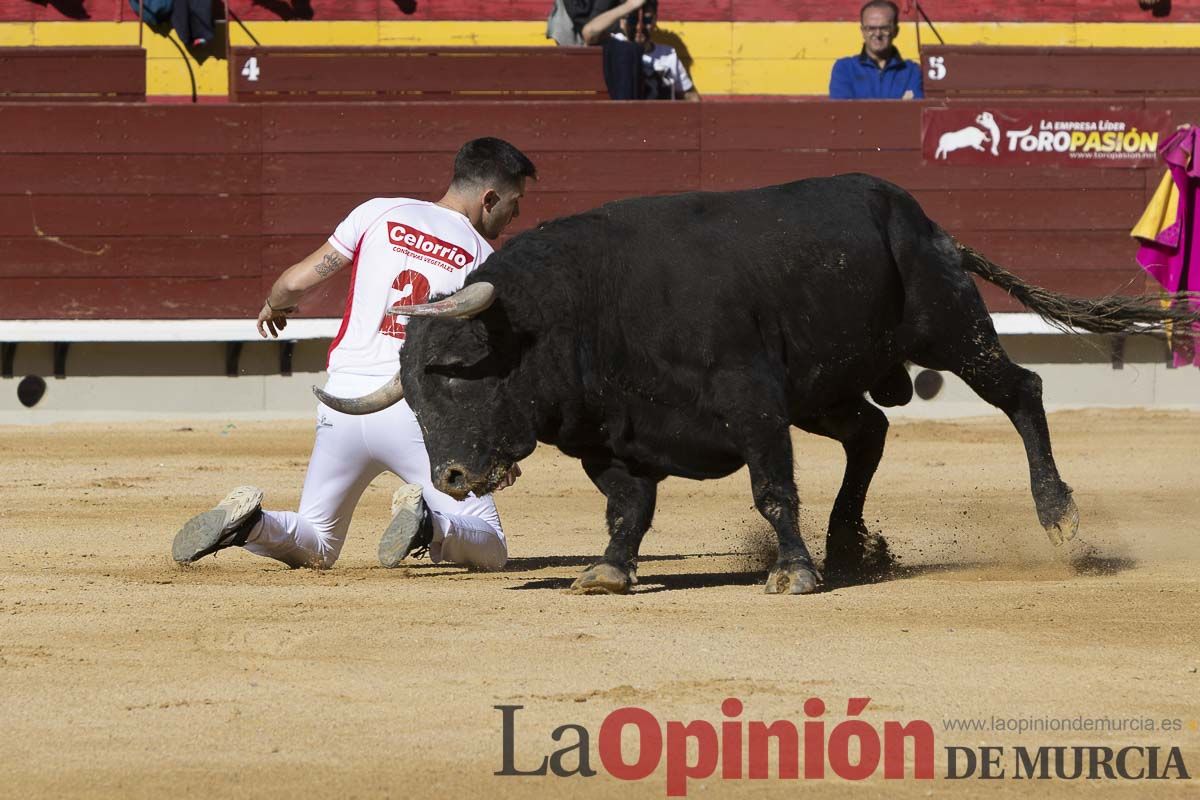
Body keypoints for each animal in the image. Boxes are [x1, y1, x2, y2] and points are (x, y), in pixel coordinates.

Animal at [314, 176, 1195, 599]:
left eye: (461, 372)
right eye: (413, 397)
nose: (453, 477)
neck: (578, 311)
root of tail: (924, 220)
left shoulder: (753, 404)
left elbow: (773, 490)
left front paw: (792, 573)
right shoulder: (613, 437)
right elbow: (628, 508)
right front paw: (608, 571)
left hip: (947, 328)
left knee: (1021, 392)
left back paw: (1059, 517)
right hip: (826, 388)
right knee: (870, 431)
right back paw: (851, 544)